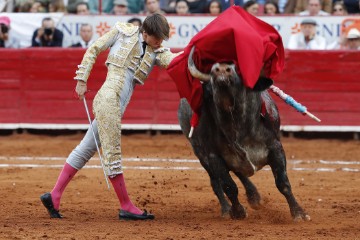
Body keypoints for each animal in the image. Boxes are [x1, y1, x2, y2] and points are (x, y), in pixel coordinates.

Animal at [177, 46, 310, 221]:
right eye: (210, 86)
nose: (221, 68)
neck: (239, 125)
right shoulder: (214, 157)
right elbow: (229, 186)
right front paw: (238, 211)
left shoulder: (276, 148)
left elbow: (283, 183)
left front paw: (299, 213)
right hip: (200, 153)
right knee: (216, 182)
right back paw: (226, 209)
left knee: (239, 172)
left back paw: (254, 197)